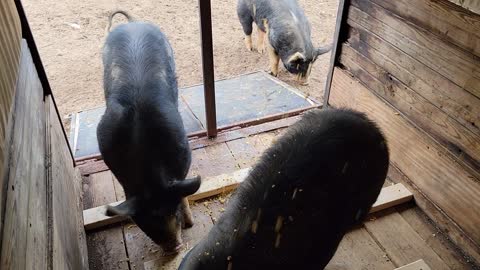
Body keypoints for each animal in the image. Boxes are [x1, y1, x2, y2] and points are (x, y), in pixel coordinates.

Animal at [96, 10, 202, 254]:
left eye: (173, 212)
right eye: (142, 223)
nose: (173, 247)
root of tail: (132, 24)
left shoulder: (184, 152)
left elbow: (183, 187)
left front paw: (191, 223)